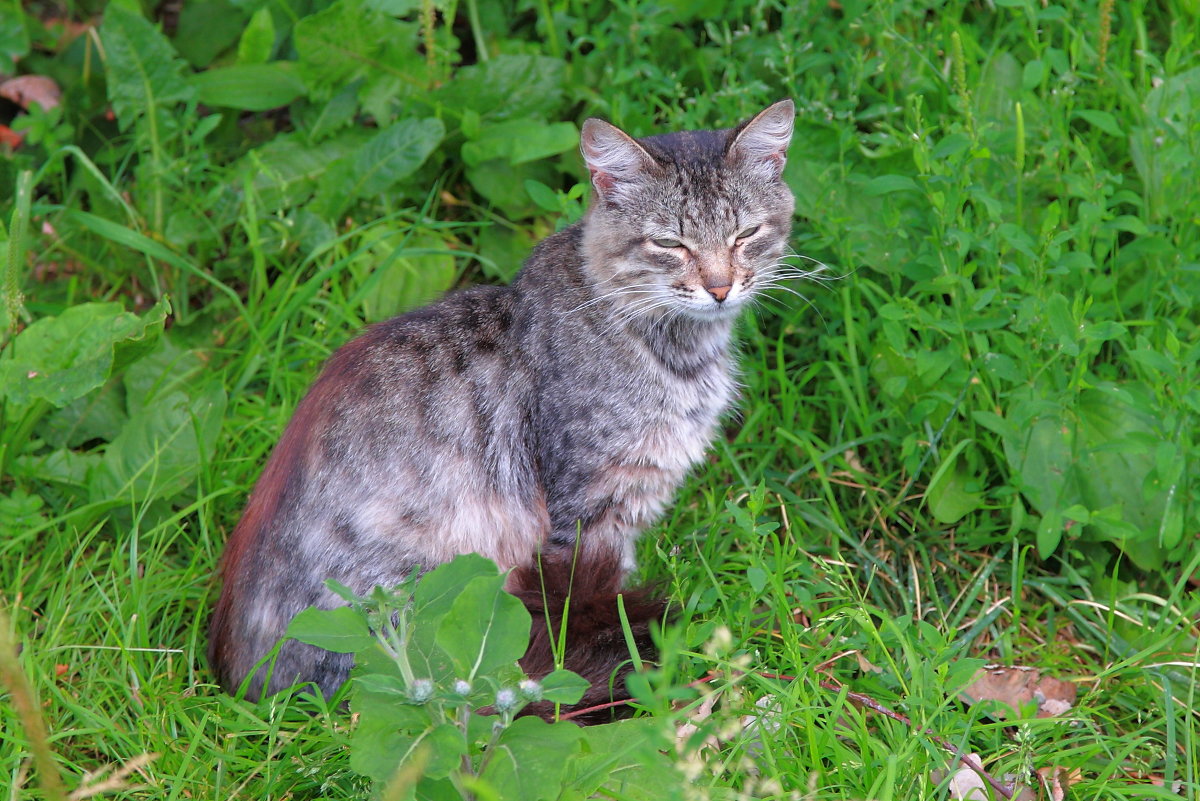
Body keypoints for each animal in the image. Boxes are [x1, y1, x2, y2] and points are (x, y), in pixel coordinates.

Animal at [208, 97, 796, 714]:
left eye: (746, 234)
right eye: (670, 244)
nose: (720, 287)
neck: (681, 351)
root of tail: (244, 684)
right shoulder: (586, 513)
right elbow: (598, 599)